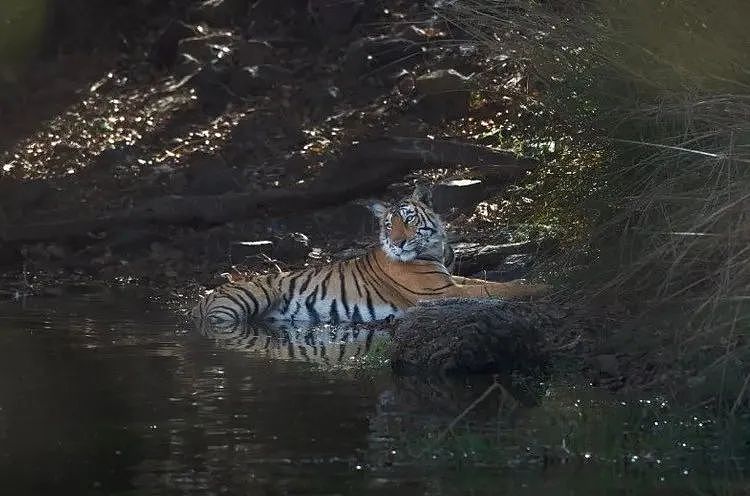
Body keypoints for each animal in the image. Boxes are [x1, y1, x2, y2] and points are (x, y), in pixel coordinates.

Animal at [190, 184, 550, 326]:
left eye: (408, 220)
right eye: (389, 225)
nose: (398, 243)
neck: (434, 249)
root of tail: (203, 298)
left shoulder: (450, 280)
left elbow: (486, 282)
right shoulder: (439, 292)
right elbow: (494, 289)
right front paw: (540, 285)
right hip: (247, 299)